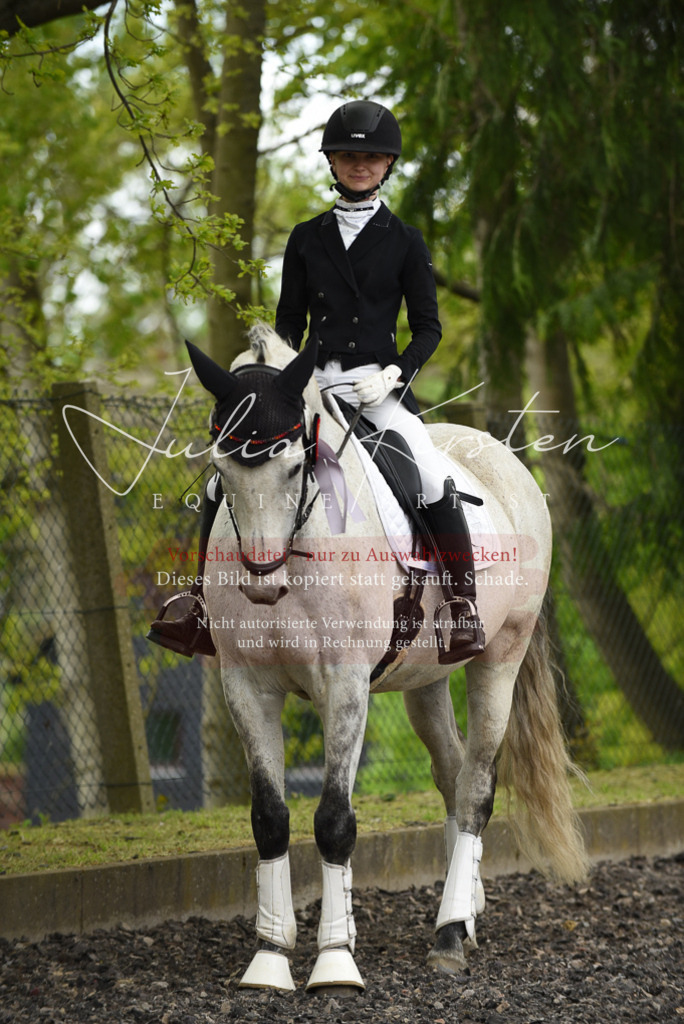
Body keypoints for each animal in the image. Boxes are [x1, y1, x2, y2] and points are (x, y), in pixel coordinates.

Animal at [185, 323, 588, 993]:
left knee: (475, 788)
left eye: (295, 464)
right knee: (451, 774)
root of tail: (502, 456)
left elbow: (334, 820)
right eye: (220, 469)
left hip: (501, 657)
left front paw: (335, 961)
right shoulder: (246, 685)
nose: (263, 582)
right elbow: (269, 817)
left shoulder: (345, 684)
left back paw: (448, 935)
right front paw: (270, 956)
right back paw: (464, 911)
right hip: (426, 678)